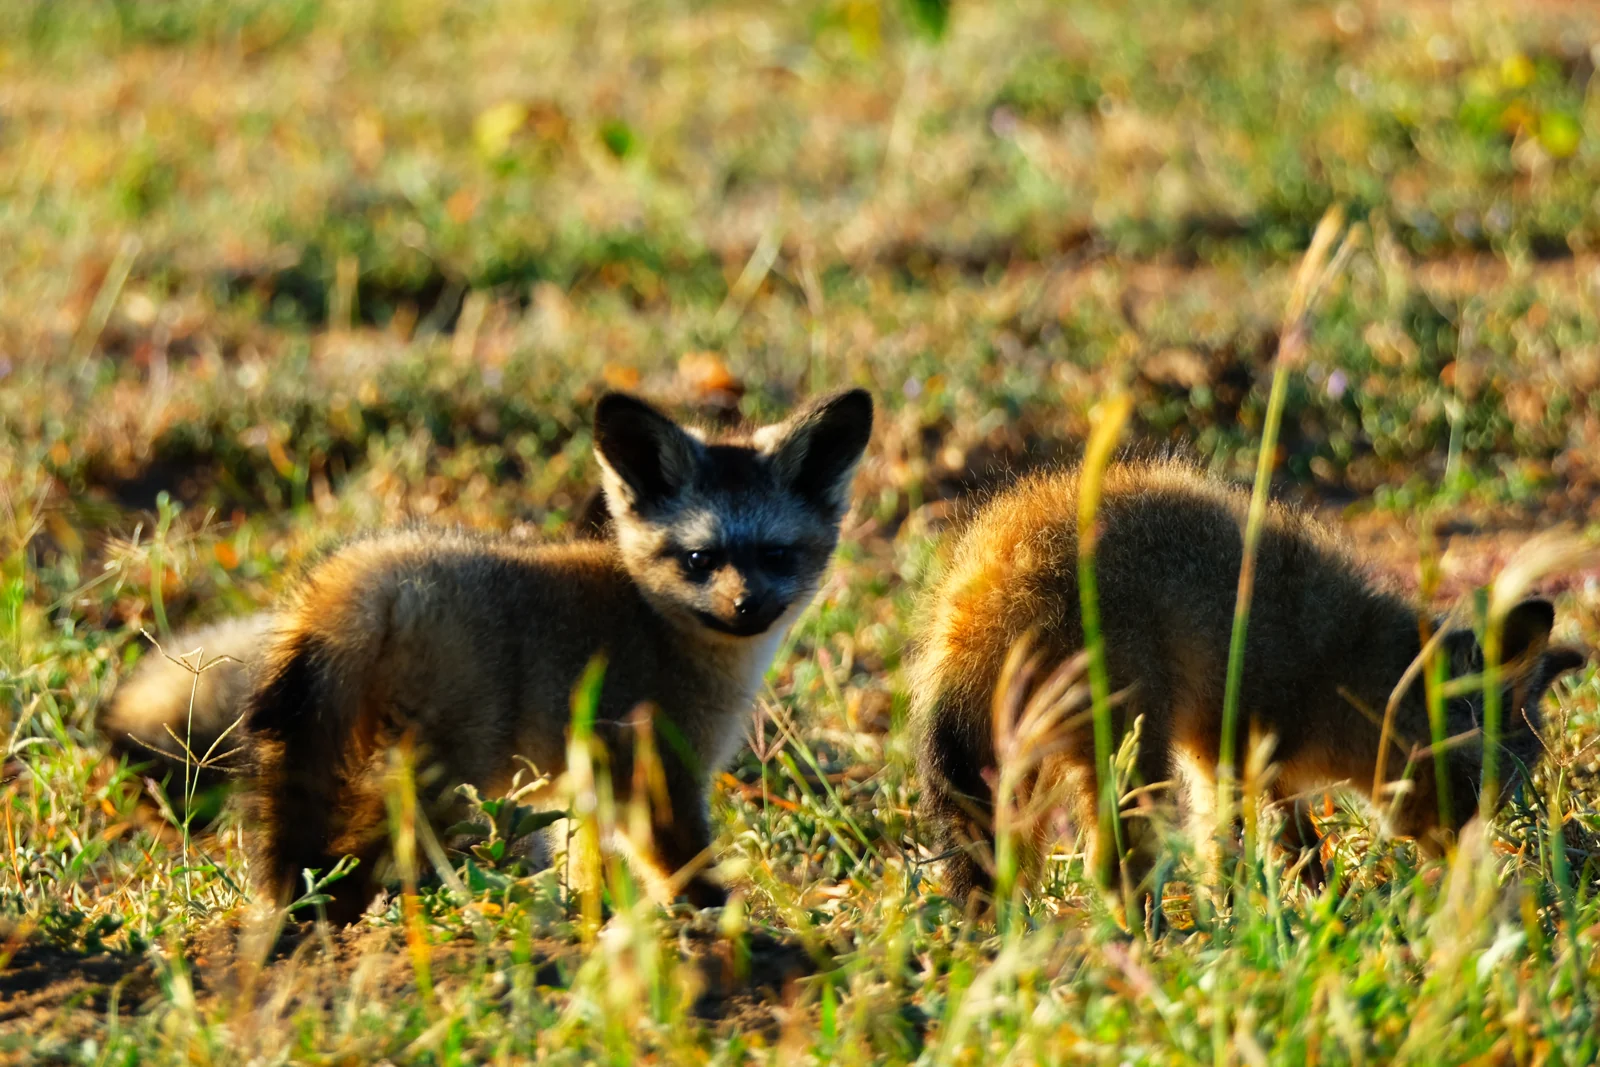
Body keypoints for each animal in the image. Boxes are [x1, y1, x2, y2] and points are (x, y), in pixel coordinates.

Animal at [102, 388, 874, 922]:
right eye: (698, 559)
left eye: (777, 556)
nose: (747, 608)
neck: (657, 621)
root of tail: (362, 574)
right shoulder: (657, 774)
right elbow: (683, 867)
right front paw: (726, 921)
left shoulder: (587, 779)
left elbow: (587, 871)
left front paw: (595, 925)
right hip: (445, 775)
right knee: (360, 849)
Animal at [912, 458, 1589, 910]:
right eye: (1475, 788)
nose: (1465, 873)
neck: (1342, 659)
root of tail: (998, 566)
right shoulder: (1227, 758)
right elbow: (1232, 852)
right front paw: (1235, 923)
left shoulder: (1260, 769)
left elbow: (1299, 845)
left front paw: (1321, 910)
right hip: (1133, 753)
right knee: (1116, 865)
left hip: (1020, 771)